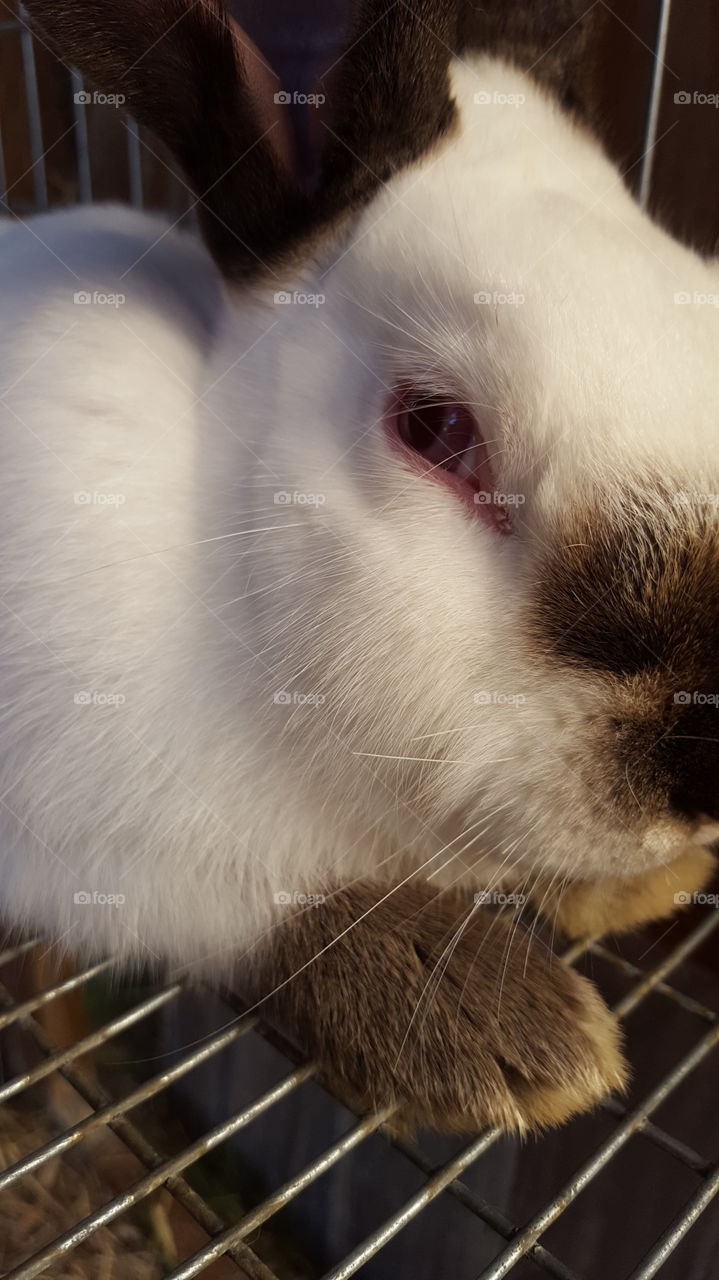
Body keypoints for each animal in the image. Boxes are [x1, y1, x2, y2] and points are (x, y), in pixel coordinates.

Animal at [0, 0, 716, 1132]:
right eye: (432, 427)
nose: (705, 778)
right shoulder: (98, 836)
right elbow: (265, 904)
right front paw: (508, 1032)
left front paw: (647, 883)